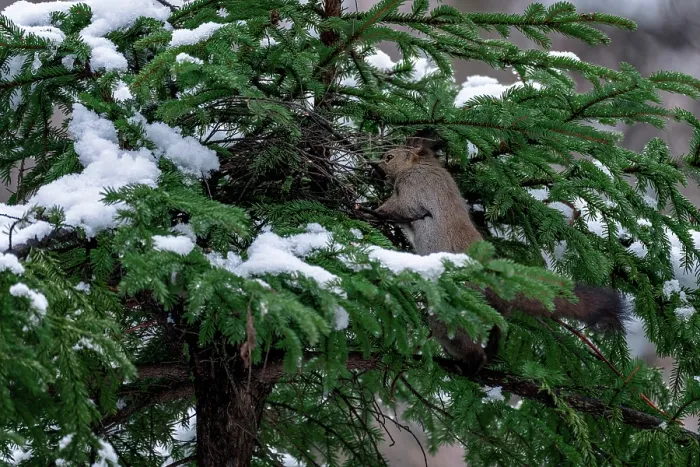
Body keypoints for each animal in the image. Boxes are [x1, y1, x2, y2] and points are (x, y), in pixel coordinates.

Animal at [360, 132, 625, 374]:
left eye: (389, 156)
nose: (372, 167)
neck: (421, 164)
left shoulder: (413, 189)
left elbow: (397, 208)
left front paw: (366, 210)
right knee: (494, 337)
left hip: (453, 314)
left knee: (469, 344)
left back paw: (468, 366)